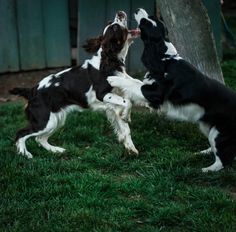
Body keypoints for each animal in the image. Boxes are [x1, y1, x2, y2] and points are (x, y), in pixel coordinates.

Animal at [10, 10, 140, 158]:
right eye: (115, 27)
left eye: (111, 24)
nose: (120, 12)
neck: (109, 62)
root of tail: (32, 91)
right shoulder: (102, 94)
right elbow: (127, 102)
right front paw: (127, 116)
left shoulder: (113, 105)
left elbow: (125, 127)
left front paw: (131, 149)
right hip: (44, 121)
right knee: (21, 133)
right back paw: (25, 154)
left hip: (54, 120)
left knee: (40, 138)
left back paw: (56, 150)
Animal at [107, 8, 236, 171]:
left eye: (146, 21)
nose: (137, 9)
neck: (165, 58)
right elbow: (133, 89)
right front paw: (125, 114)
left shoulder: (156, 93)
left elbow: (133, 85)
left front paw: (113, 78)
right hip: (208, 127)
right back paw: (203, 153)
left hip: (219, 133)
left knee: (223, 160)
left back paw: (205, 170)